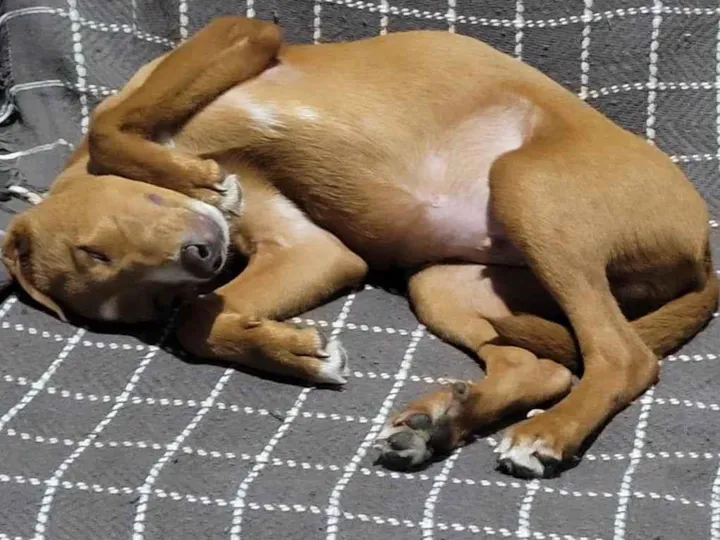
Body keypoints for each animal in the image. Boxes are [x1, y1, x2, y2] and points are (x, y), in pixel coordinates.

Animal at [2, 17, 716, 478]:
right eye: (139, 298)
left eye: (97, 248)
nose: (204, 258)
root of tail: (703, 249)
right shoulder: (312, 248)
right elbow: (199, 319)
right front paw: (294, 350)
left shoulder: (240, 33)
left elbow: (108, 122)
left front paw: (194, 177)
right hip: (446, 283)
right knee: (541, 366)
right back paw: (440, 424)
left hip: (528, 186)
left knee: (622, 357)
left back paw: (546, 433)